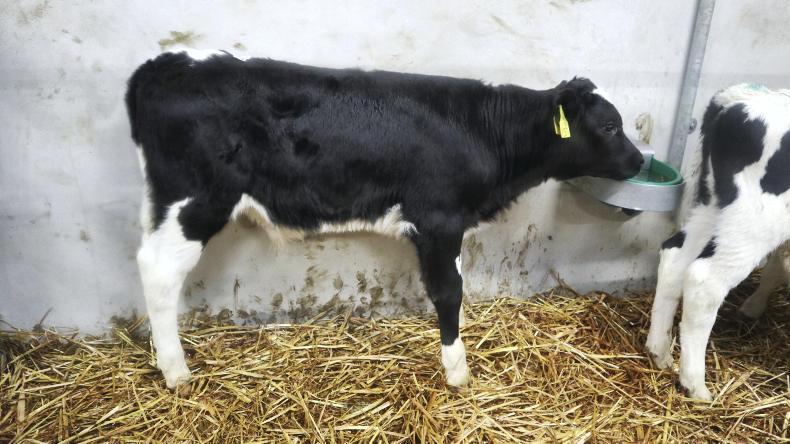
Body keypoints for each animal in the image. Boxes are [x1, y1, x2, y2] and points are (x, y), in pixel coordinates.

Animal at [125, 49, 644, 391]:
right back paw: (175, 371)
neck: (483, 131)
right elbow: (449, 291)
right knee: (158, 271)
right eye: (611, 125)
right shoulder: (438, 218)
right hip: (196, 200)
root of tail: (167, 65)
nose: (640, 161)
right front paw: (457, 371)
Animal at [646, 84, 790, 401]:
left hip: (713, 205)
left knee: (675, 258)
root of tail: (737, 98)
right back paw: (695, 385)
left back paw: (659, 353)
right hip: (757, 218)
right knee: (705, 281)